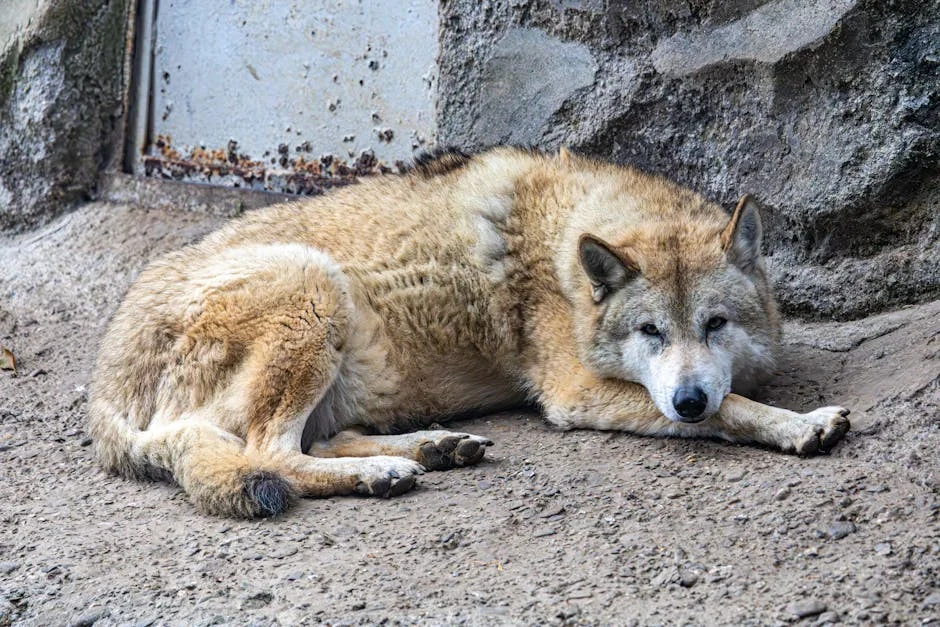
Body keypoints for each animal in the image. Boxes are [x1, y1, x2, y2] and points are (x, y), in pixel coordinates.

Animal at [88, 147, 850, 518]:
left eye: (714, 324)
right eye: (650, 331)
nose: (687, 399)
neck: (566, 238)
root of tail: (105, 383)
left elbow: (732, 396)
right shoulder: (575, 393)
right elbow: (736, 408)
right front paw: (800, 425)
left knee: (310, 443)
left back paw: (433, 448)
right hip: (314, 288)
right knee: (270, 454)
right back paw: (381, 472)